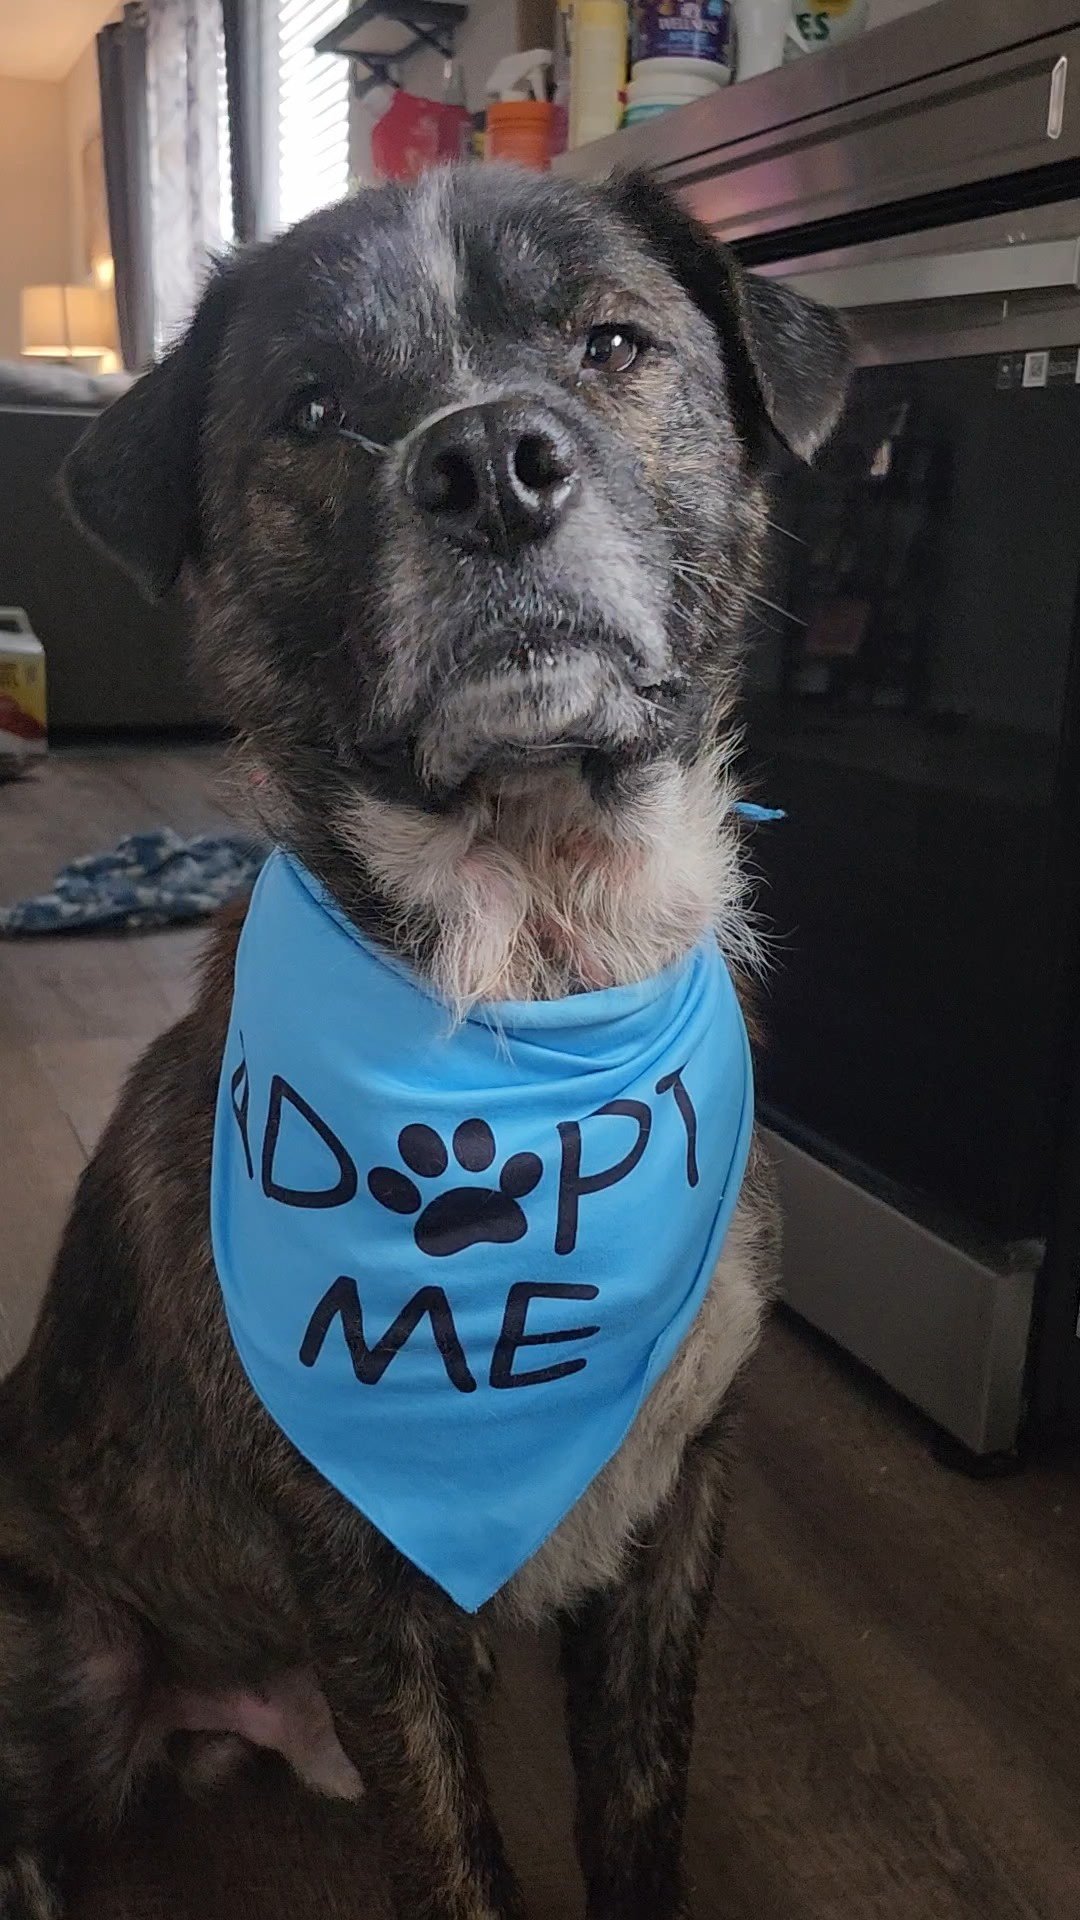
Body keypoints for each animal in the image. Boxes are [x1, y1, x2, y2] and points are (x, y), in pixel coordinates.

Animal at [0, 164, 847, 1920]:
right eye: (317, 408)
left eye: (613, 343)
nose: (491, 466)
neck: (533, 963)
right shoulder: (368, 1594)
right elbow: (455, 1857)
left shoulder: (680, 1507)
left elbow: (641, 1805)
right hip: (63, 1649)